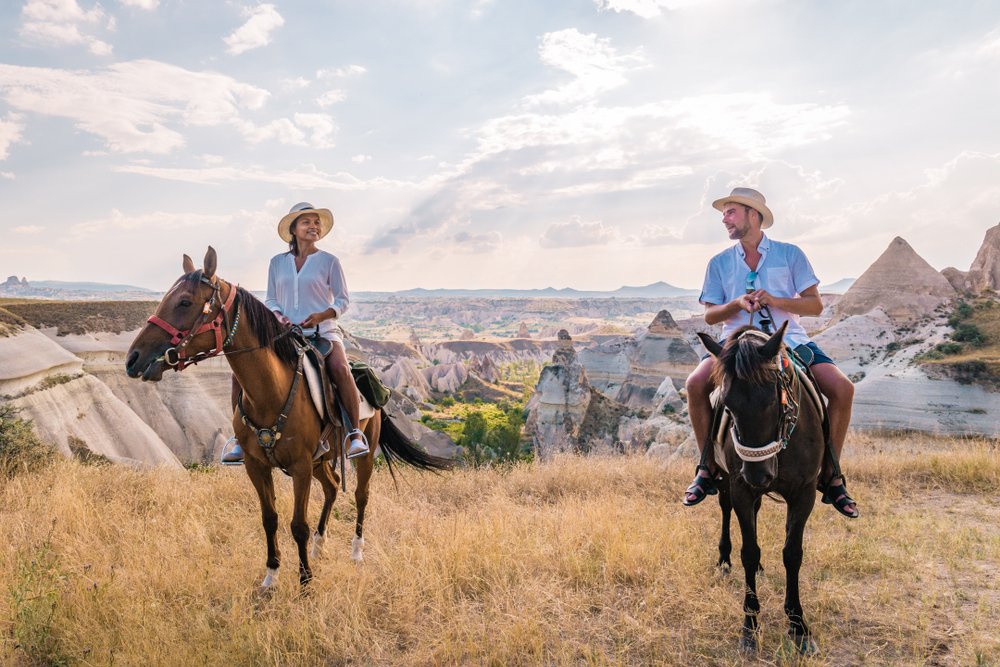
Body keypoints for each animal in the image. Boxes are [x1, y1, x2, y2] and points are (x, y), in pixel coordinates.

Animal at [126, 249, 454, 588]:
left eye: (185, 302)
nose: (133, 358)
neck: (270, 393)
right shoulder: (258, 467)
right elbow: (269, 519)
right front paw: (271, 576)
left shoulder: (299, 467)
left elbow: (298, 525)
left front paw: (305, 581)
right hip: (321, 459)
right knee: (333, 486)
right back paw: (320, 545)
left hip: (361, 453)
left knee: (361, 495)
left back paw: (356, 552)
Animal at [700, 324, 824, 656]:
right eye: (727, 405)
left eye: (772, 399)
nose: (759, 475)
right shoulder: (741, 487)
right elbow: (749, 551)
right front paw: (750, 626)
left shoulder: (804, 493)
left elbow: (792, 553)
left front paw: (798, 626)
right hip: (726, 480)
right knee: (727, 511)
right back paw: (724, 560)